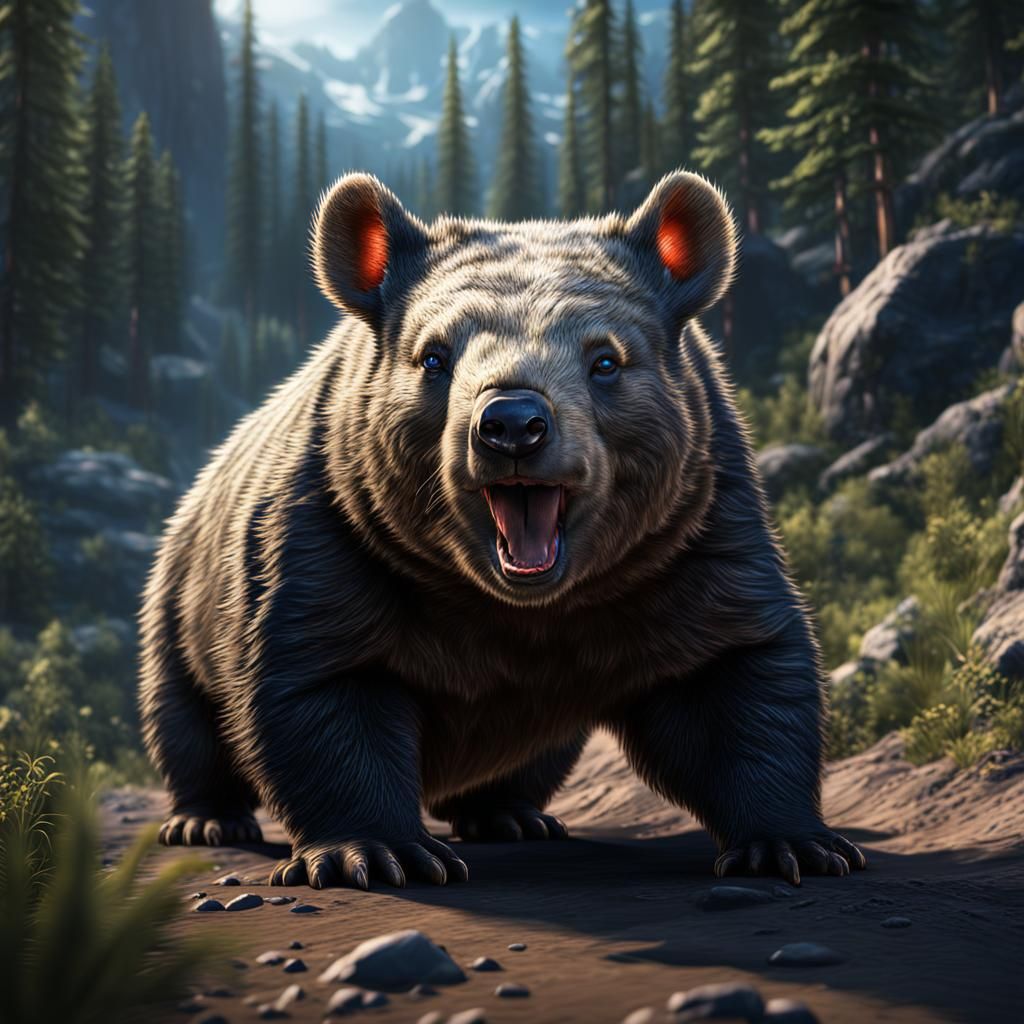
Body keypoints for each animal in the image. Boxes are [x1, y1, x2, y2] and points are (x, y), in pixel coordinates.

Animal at [139, 170, 866, 890]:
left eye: (606, 360)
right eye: (434, 357)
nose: (512, 423)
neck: (520, 604)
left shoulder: (691, 537)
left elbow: (734, 673)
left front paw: (795, 843)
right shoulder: (336, 533)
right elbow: (323, 682)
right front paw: (376, 851)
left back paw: (508, 813)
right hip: (178, 604)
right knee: (186, 720)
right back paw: (207, 819)